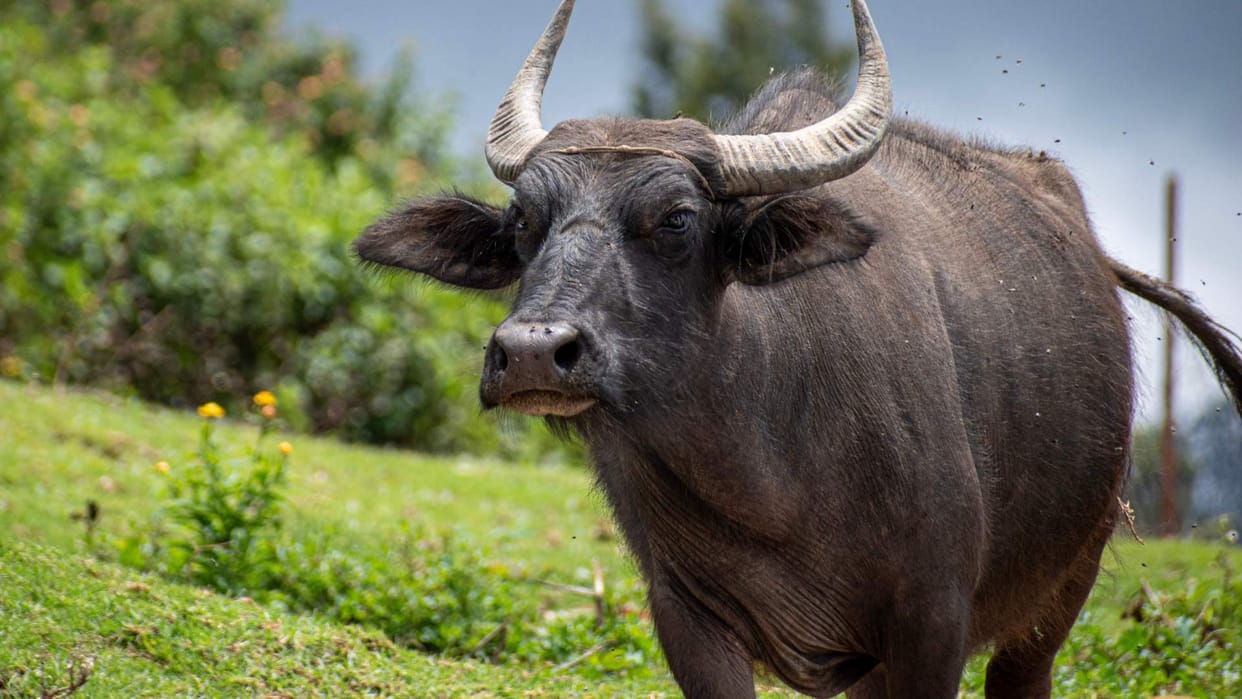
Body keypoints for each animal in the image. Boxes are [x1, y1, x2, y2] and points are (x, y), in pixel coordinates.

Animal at [354, 1, 1242, 696]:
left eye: (676, 219)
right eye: (522, 224)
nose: (535, 352)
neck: (770, 471)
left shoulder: (933, 622)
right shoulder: (689, 618)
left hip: (1060, 589)